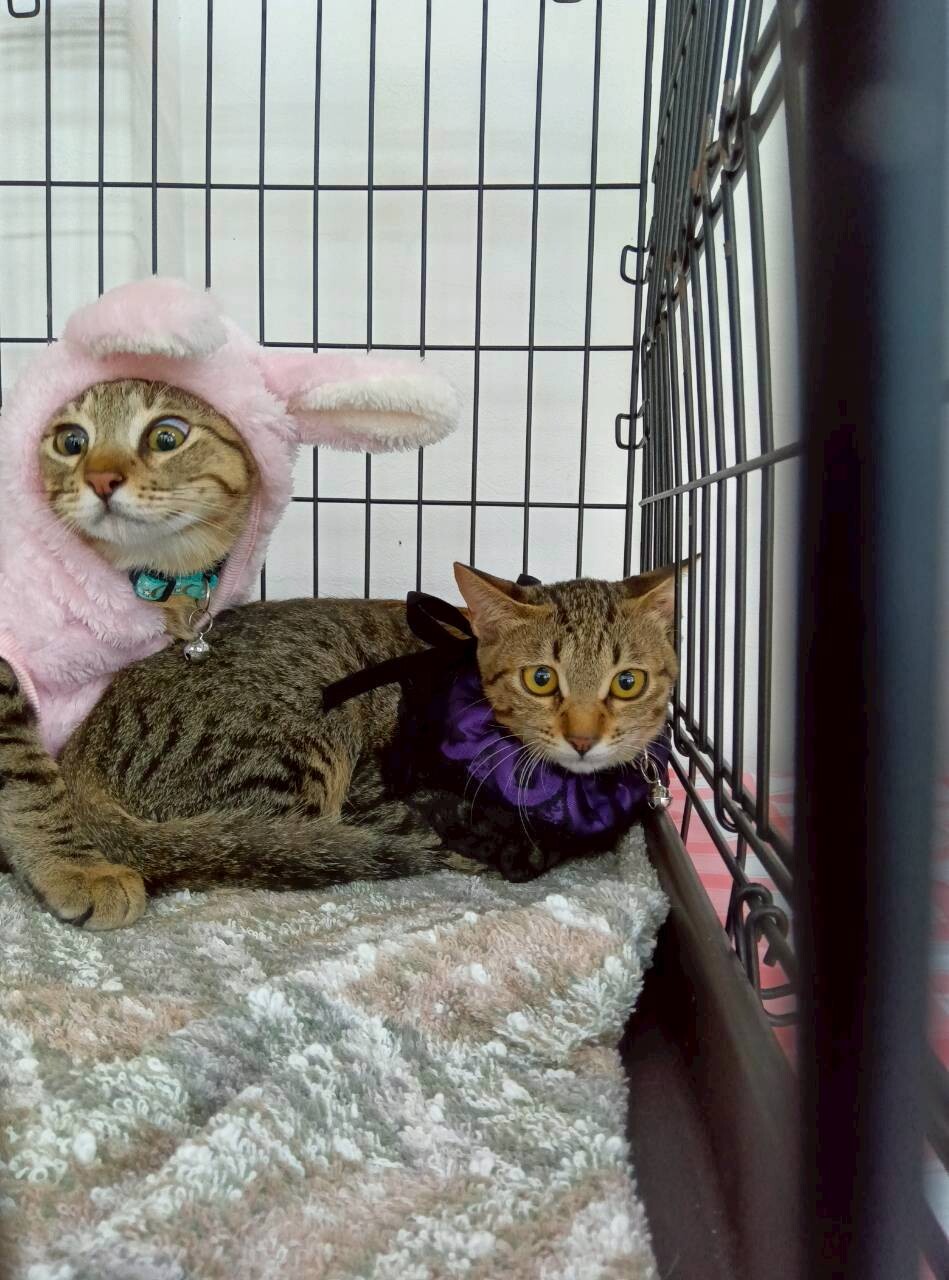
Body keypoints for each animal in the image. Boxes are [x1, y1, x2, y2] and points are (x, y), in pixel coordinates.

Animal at [34, 562, 680, 929]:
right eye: (541, 678)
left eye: (627, 682)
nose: (583, 736)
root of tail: (80, 753)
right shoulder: (379, 788)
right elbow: (439, 829)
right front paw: (501, 849)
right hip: (294, 750)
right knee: (273, 845)